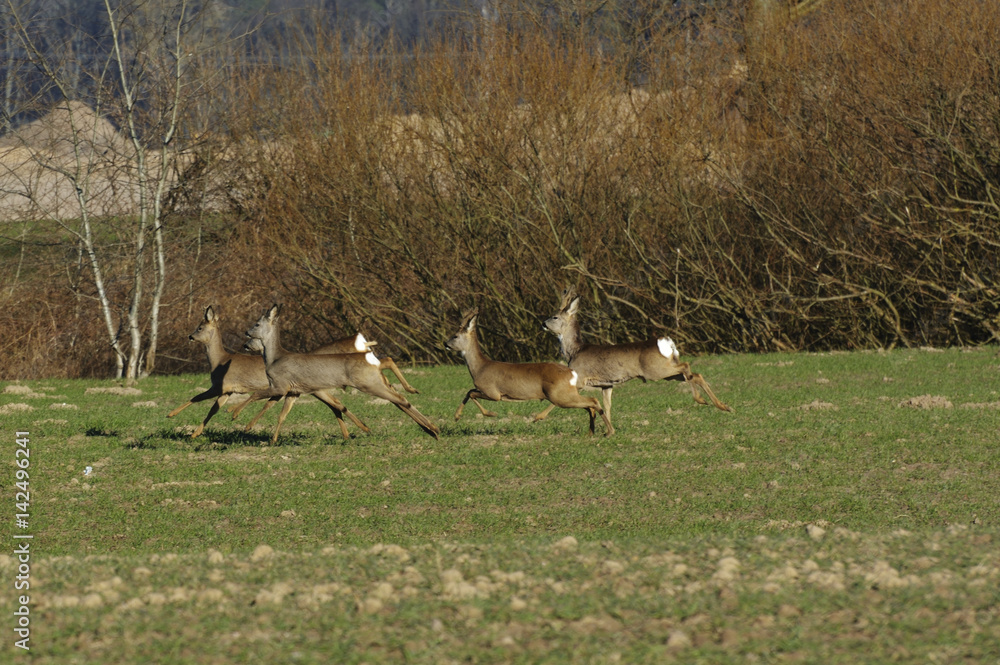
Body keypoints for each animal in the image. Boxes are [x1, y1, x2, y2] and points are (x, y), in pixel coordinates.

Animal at [231, 304, 439, 444]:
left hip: (367, 382)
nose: (246, 335)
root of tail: (366, 351)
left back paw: (432, 428)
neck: (275, 358)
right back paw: (430, 427)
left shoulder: (280, 385)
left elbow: (256, 395)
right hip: (373, 379)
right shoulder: (292, 391)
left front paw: (234, 413)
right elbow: (280, 414)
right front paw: (270, 438)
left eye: (257, 324)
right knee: (395, 390)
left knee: (400, 398)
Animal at [445, 309, 612, 436]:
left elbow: (472, 393)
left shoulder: (492, 392)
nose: (445, 343)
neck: (479, 367)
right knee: (590, 405)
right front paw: (457, 417)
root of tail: (571, 372)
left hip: (560, 395)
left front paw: (490, 414)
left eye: (455, 336)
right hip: (566, 393)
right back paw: (591, 432)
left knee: (593, 401)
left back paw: (609, 432)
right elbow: (469, 391)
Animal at [539, 291, 732, 434]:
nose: (542, 323)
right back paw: (723, 406)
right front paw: (609, 430)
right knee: (695, 374)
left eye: (554, 317)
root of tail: (666, 342)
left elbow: (558, 399)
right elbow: (607, 406)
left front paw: (538, 417)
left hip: (655, 370)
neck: (574, 352)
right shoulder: (606, 384)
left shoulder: (579, 378)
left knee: (687, 367)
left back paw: (701, 399)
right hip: (667, 371)